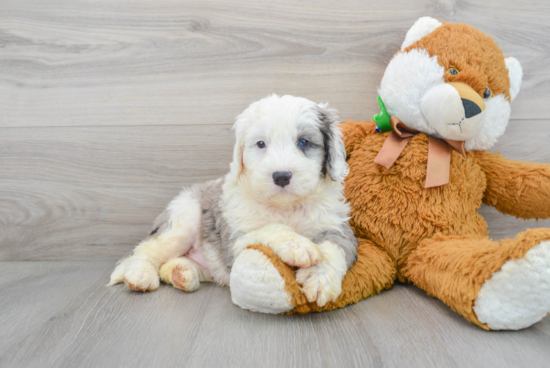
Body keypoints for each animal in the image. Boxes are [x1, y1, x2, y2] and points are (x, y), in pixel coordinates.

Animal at [109, 93, 360, 306]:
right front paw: (297, 245)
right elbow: (268, 229)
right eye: (261, 144)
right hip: (181, 223)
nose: (281, 176)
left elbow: (334, 247)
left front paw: (319, 280)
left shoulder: (338, 227)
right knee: (146, 250)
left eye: (304, 142)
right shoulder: (236, 238)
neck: (285, 207)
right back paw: (140, 274)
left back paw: (181, 273)